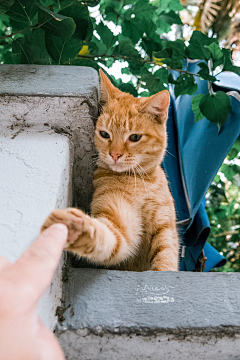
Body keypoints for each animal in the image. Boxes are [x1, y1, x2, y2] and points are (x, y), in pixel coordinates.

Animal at [41, 69, 179, 270]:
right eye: (105, 134)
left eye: (135, 137)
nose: (114, 155)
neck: (140, 181)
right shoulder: (118, 219)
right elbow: (109, 236)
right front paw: (78, 228)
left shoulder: (165, 228)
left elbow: (166, 260)